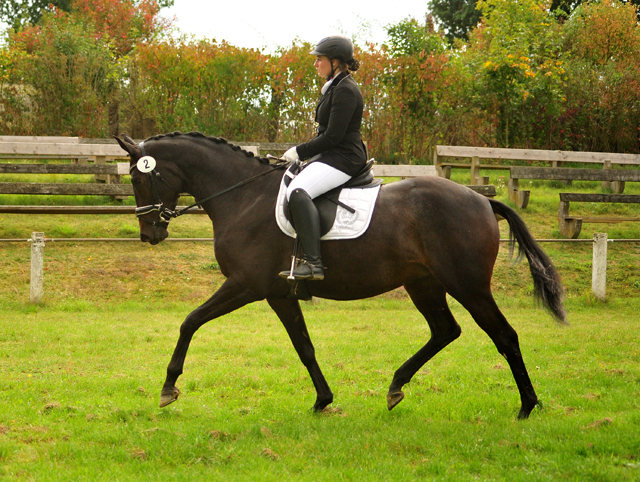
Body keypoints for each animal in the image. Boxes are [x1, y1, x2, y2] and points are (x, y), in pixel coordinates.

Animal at [115, 131, 564, 418]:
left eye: (138, 176)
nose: (149, 234)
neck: (243, 196)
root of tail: (484, 202)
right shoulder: (278, 293)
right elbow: (304, 346)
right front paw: (323, 400)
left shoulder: (246, 285)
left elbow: (190, 322)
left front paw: (168, 388)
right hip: (423, 282)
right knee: (445, 331)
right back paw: (396, 386)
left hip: (468, 285)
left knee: (504, 335)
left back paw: (527, 406)